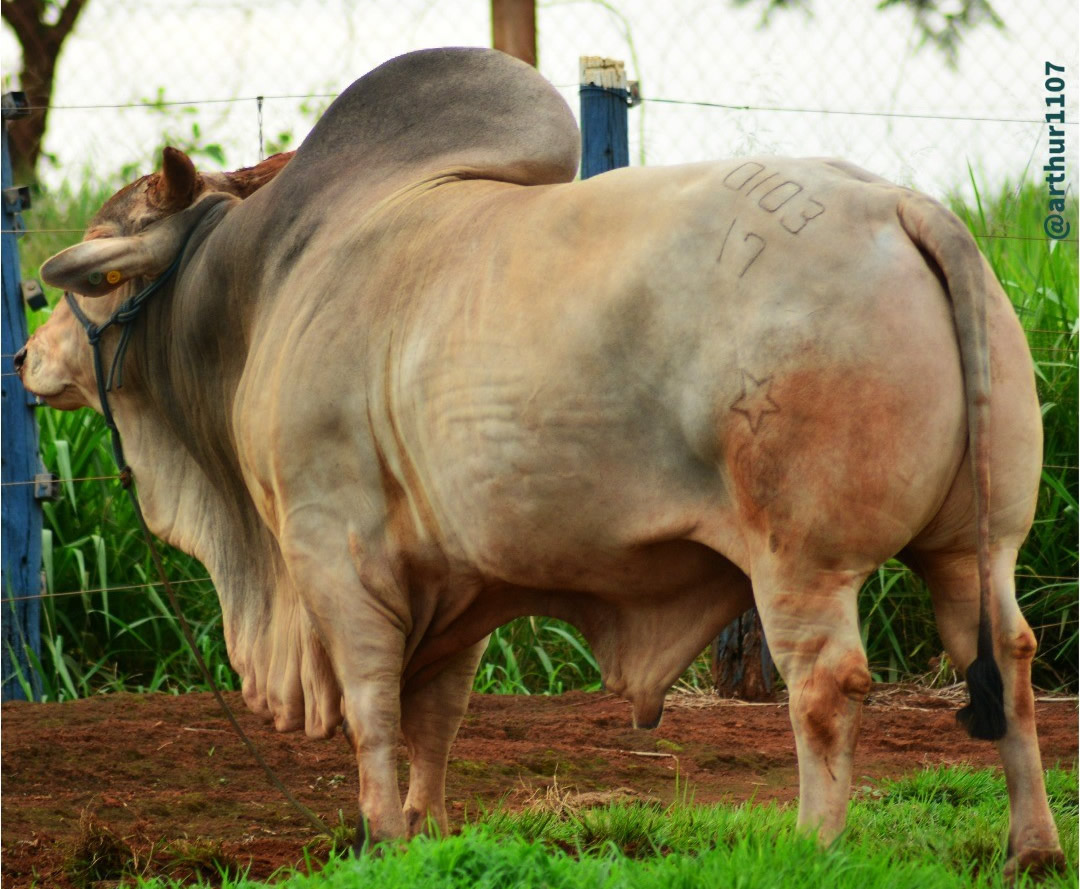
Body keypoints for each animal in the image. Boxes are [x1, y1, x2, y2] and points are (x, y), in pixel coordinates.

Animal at [14, 48, 1062, 877]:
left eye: (98, 274)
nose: (24, 357)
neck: (264, 282)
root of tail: (903, 205)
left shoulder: (334, 555)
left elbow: (373, 709)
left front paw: (379, 835)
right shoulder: (453, 582)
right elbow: (435, 713)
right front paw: (426, 832)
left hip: (801, 559)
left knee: (829, 684)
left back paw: (814, 845)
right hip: (978, 545)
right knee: (1005, 657)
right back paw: (1033, 849)